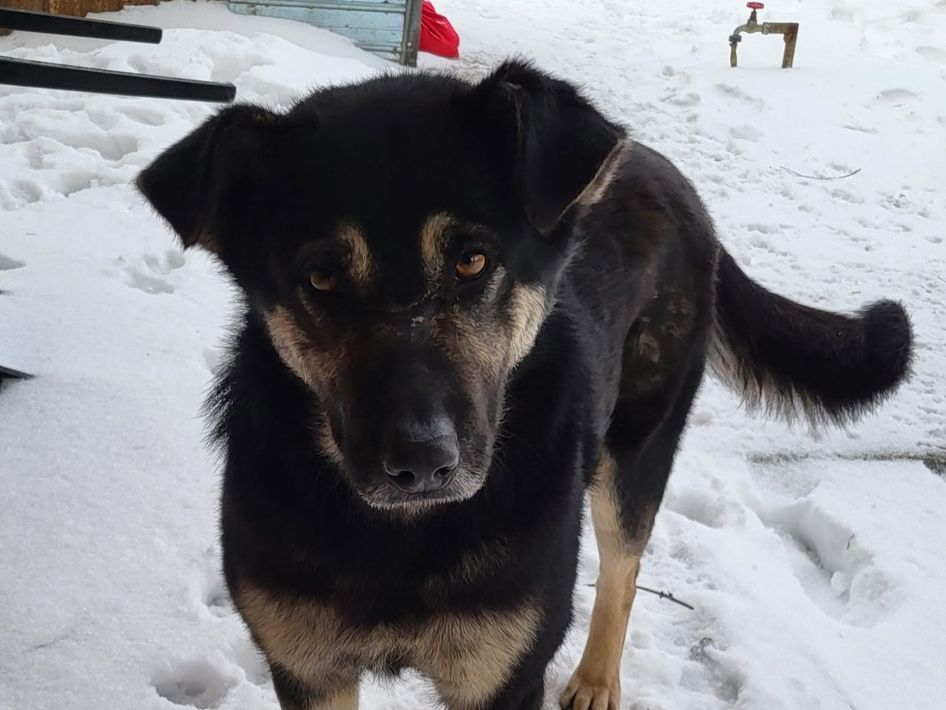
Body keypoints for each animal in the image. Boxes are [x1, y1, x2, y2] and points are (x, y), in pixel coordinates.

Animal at [137, 60, 912, 710]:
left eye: (473, 261)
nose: (421, 464)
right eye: (322, 277)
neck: (401, 539)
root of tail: (665, 172)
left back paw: (597, 680)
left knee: (623, 571)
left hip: (634, 452)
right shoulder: (309, 670)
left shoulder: (503, 675)